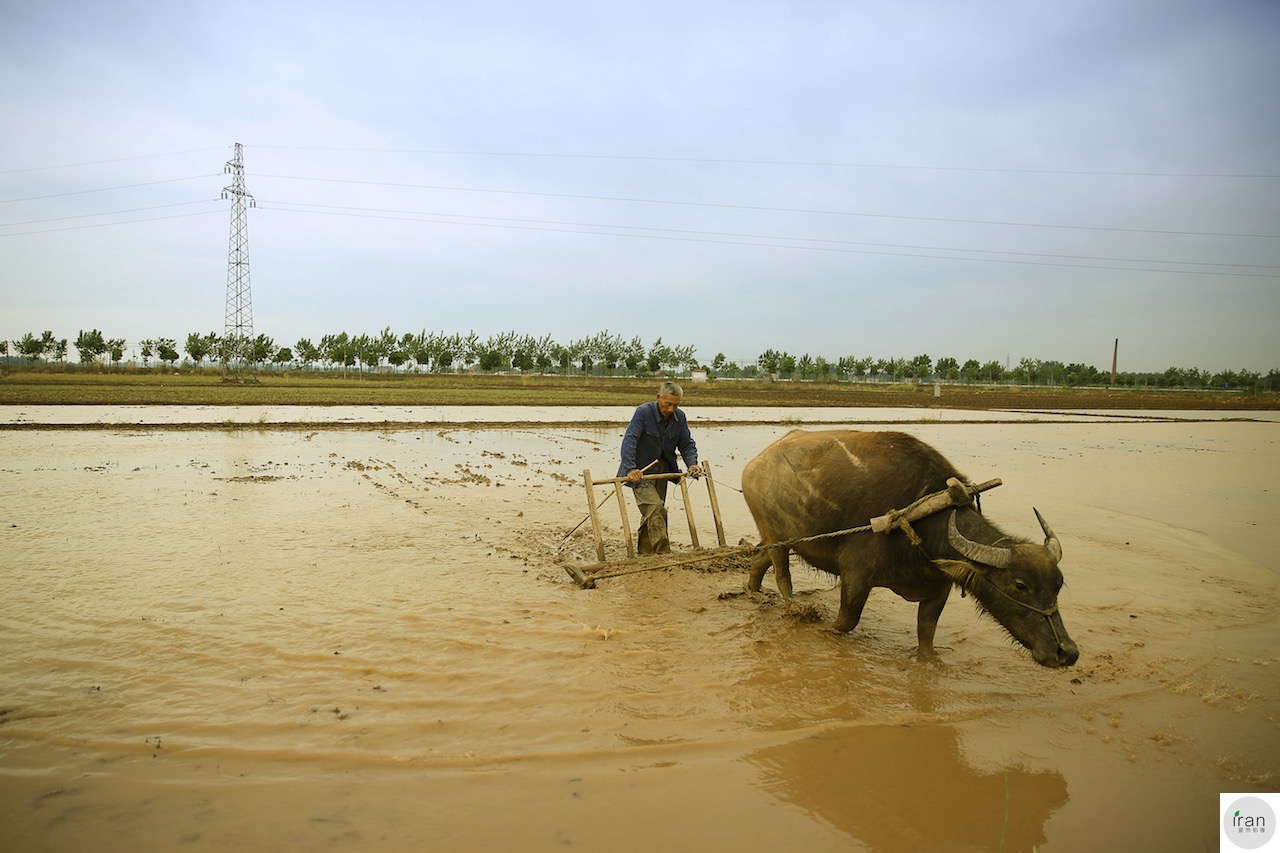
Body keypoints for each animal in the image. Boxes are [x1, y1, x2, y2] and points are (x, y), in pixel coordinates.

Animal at [742, 425, 1080, 666]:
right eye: (1020, 585)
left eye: (1058, 585)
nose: (1066, 652)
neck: (922, 522)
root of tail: (756, 462)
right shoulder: (856, 576)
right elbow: (845, 622)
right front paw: (820, 628)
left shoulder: (939, 586)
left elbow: (926, 634)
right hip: (776, 535)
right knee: (782, 574)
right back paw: (794, 607)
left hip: (780, 536)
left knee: (759, 562)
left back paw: (753, 592)